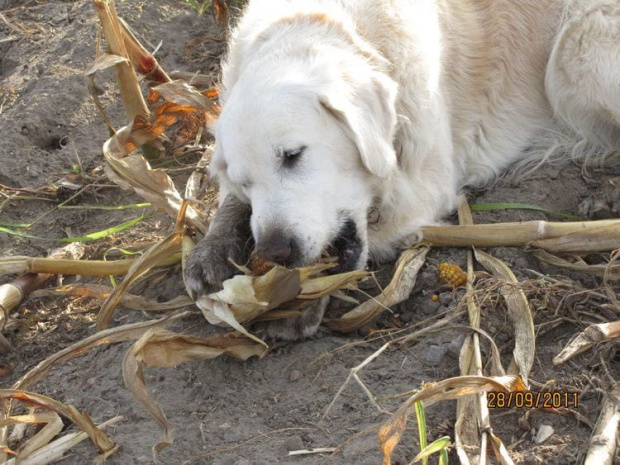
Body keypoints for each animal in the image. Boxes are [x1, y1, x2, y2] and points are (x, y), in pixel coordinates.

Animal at [185, 0, 620, 338]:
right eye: (245, 182)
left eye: (293, 154)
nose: (275, 252)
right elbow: (230, 206)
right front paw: (212, 251)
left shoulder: (426, 188)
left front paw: (302, 299)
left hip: (579, 58)